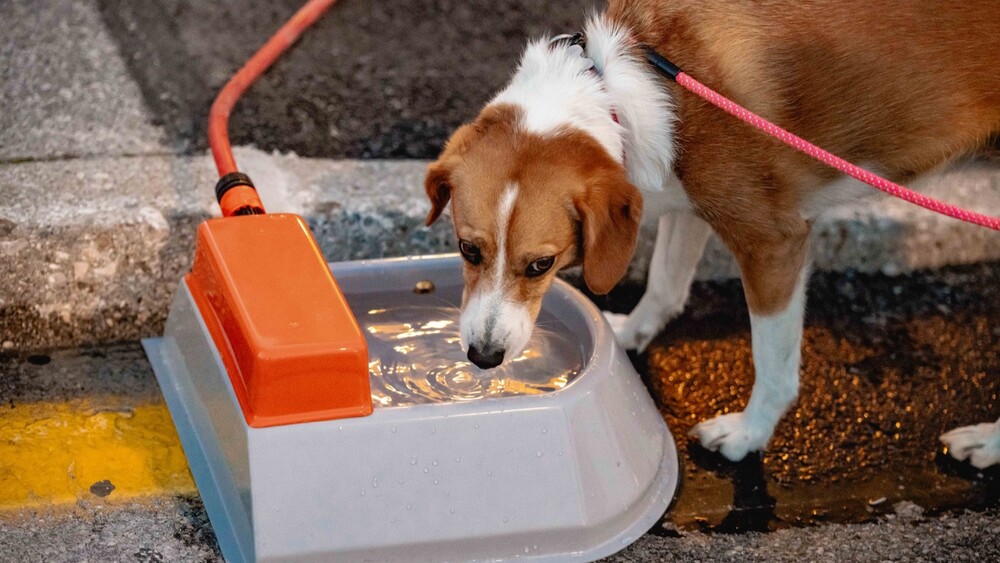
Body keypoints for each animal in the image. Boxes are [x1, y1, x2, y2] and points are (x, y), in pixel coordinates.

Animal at [422, 0, 1000, 468]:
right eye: (467, 249)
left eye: (541, 265)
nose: (483, 358)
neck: (620, 89)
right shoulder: (688, 204)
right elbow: (665, 284)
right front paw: (629, 333)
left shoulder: (773, 243)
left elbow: (774, 365)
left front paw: (748, 435)